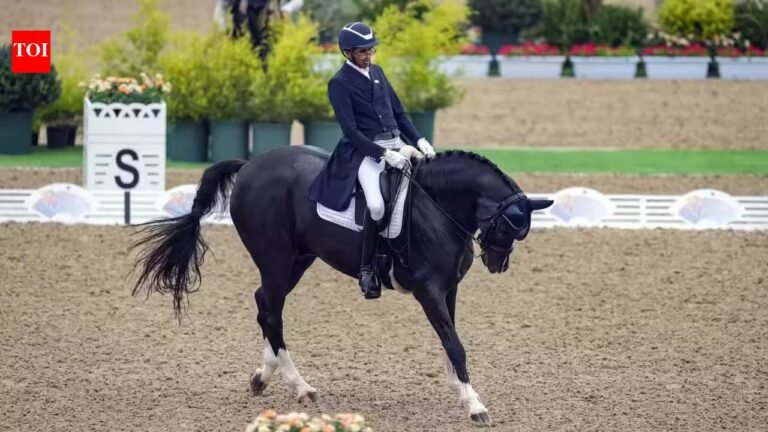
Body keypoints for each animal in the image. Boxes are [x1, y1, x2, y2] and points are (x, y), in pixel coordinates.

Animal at [130, 145, 553, 426]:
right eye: (508, 227)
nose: (498, 265)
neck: (436, 205)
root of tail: (251, 164)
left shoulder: (449, 289)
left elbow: (451, 341)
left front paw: (460, 388)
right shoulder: (428, 290)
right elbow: (454, 342)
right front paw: (474, 404)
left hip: (298, 259)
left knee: (265, 306)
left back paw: (264, 376)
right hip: (275, 257)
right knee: (272, 312)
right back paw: (301, 386)